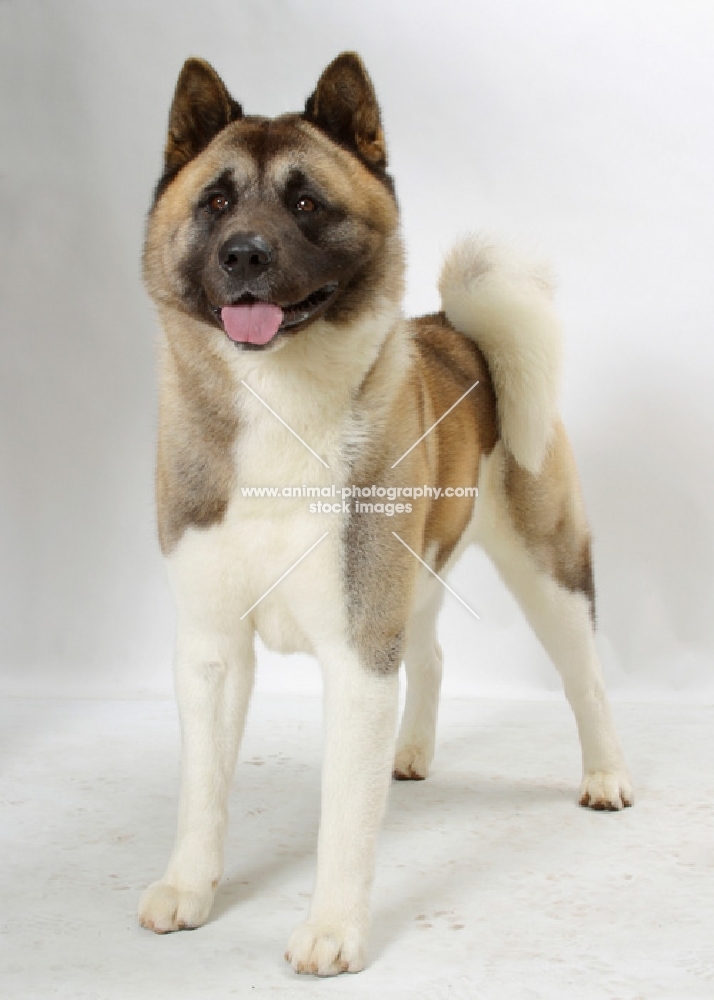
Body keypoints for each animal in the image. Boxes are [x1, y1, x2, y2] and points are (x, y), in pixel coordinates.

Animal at [138, 52, 628, 976]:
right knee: (429, 657)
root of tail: (461, 331)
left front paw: (332, 930)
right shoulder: (212, 647)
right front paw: (188, 888)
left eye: (305, 203)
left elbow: (344, 813)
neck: (281, 402)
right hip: (422, 572)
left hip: (550, 570)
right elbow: (199, 791)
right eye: (215, 202)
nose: (244, 253)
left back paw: (606, 775)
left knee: (585, 677)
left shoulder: (357, 650)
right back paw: (412, 752)